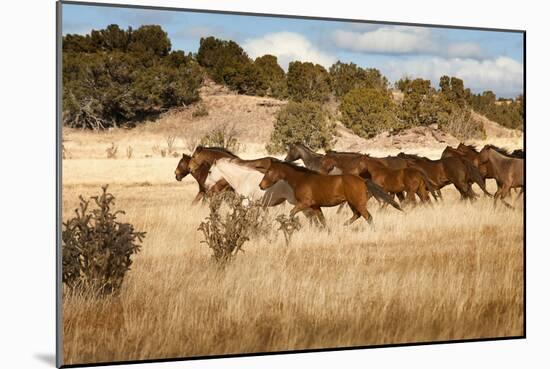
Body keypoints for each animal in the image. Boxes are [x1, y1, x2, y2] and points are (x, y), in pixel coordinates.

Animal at [260, 162, 404, 227]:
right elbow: (322, 221)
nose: (261, 186)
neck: (301, 179)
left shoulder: (304, 203)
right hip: (352, 203)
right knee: (357, 215)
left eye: (269, 171)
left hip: (357, 203)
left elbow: (291, 213)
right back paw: (344, 225)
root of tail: (363, 180)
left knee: (368, 217)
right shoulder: (316, 206)